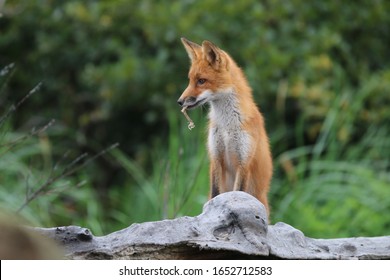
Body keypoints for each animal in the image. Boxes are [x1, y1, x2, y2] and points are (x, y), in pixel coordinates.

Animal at [178, 38, 272, 215]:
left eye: (201, 81)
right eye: (190, 80)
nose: (179, 101)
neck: (227, 126)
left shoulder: (244, 162)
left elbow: (238, 193)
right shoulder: (216, 157)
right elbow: (215, 194)